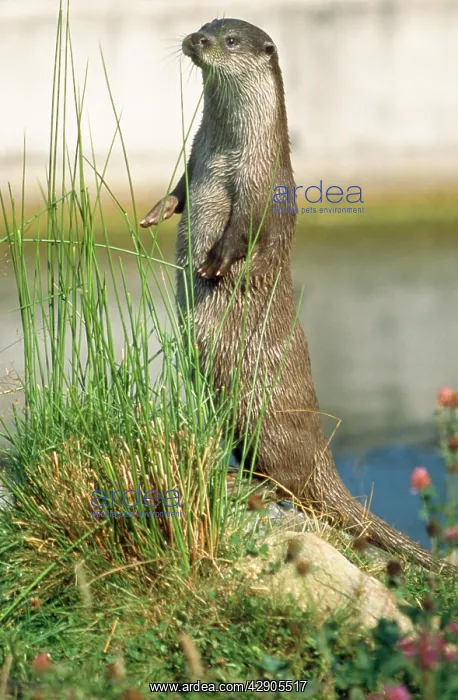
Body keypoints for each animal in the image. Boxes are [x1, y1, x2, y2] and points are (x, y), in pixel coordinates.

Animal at [141, 18, 452, 573]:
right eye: (205, 25)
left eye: (230, 40)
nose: (196, 41)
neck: (225, 150)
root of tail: (321, 457)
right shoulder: (194, 156)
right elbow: (178, 188)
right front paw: (157, 211)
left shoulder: (260, 183)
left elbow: (245, 231)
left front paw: (215, 265)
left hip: (268, 423)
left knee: (291, 486)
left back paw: (253, 488)